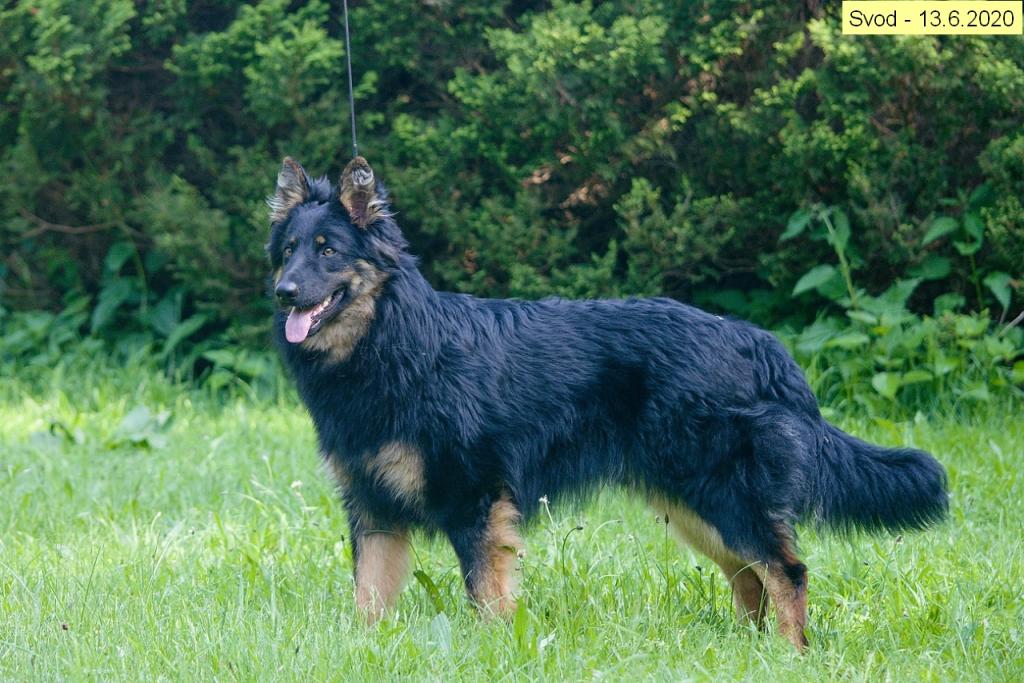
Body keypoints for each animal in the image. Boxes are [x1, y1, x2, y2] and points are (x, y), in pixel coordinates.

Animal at [266, 155, 948, 649]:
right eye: (289, 251)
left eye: (328, 249)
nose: (284, 293)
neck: (393, 342)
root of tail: (754, 341)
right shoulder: (372, 509)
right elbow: (368, 598)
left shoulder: (478, 503)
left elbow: (486, 596)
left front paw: (490, 653)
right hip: (696, 506)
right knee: (750, 575)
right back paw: (754, 652)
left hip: (719, 493)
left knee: (786, 570)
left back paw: (790, 654)